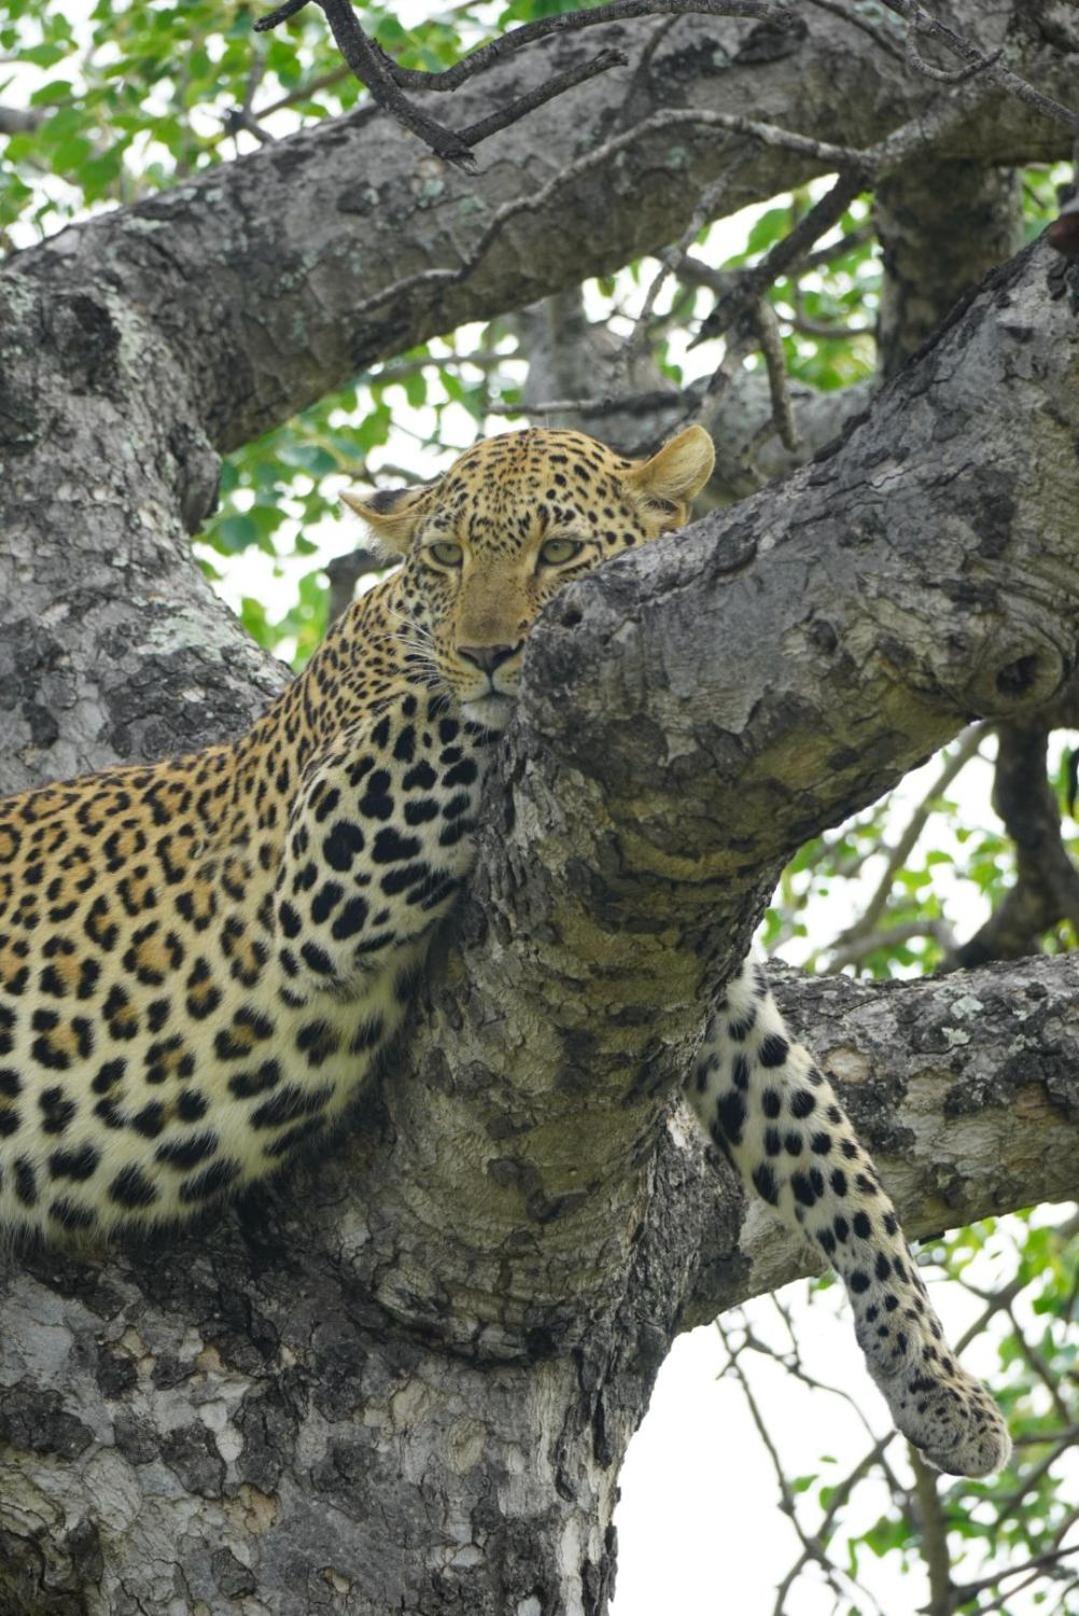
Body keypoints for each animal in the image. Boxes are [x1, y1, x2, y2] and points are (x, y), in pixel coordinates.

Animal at [0, 420, 1014, 1480]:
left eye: (558, 549)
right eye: (446, 557)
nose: (486, 650)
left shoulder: (710, 983)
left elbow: (833, 1160)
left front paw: (934, 1384)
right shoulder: (317, 871)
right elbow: (453, 707)